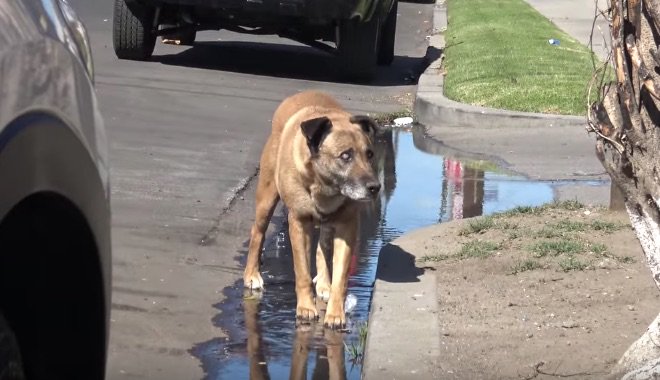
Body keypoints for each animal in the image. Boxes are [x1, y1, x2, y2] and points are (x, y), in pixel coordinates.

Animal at [244, 90, 378, 328]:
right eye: (345, 156)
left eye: (369, 154)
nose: (375, 187)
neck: (325, 187)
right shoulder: (298, 223)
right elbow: (302, 271)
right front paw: (306, 307)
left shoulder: (348, 226)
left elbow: (341, 277)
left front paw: (335, 313)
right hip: (266, 198)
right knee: (257, 233)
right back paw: (251, 274)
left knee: (322, 248)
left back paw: (324, 283)